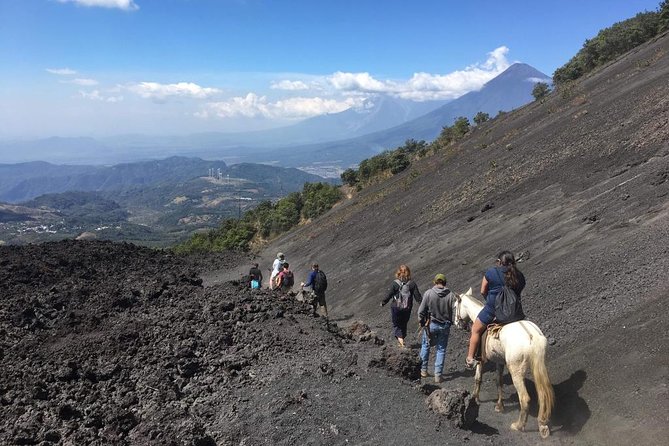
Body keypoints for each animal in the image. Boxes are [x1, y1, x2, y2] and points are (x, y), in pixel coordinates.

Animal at [452, 288, 556, 438]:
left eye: (455, 306)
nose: (456, 323)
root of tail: (532, 336)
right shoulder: (499, 361)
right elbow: (498, 381)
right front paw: (499, 406)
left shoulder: (480, 359)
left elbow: (478, 378)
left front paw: (475, 398)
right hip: (539, 367)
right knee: (542, 394)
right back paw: (542, 425)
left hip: (516, 371)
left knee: (524, 398)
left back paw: (518, 426)